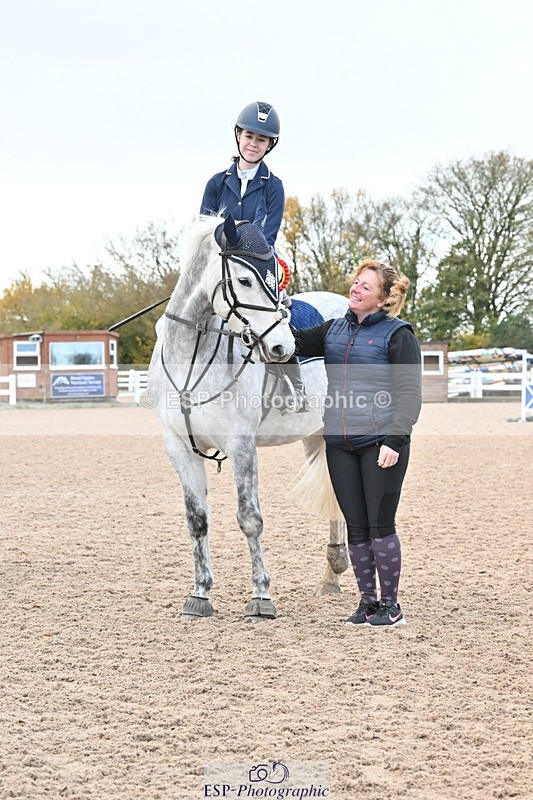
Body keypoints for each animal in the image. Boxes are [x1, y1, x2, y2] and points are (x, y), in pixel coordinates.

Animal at [147, 214, 350, 621]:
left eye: (274, 279)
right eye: (243, 280)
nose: (282, 346)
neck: (191, 358)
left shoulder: (242, 446)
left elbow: (250, 519)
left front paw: (261, 596)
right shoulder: (180, 449)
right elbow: (197, 521)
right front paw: (200, 594)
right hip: (316, 436)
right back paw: (331, 575)